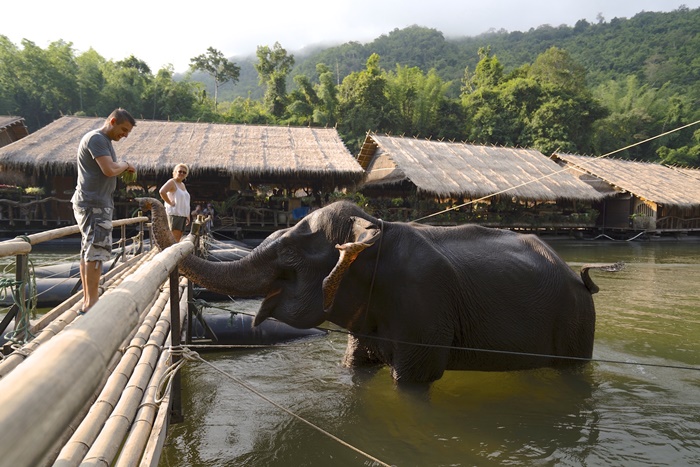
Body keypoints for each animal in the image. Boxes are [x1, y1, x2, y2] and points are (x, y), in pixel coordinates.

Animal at [139, 197, 620, 384]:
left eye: (290, 256)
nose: (147, 201)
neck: (376, 226)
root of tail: (579, 276)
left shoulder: (424, 307)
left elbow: (413, 382)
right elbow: (355, 367)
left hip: (577, 325)